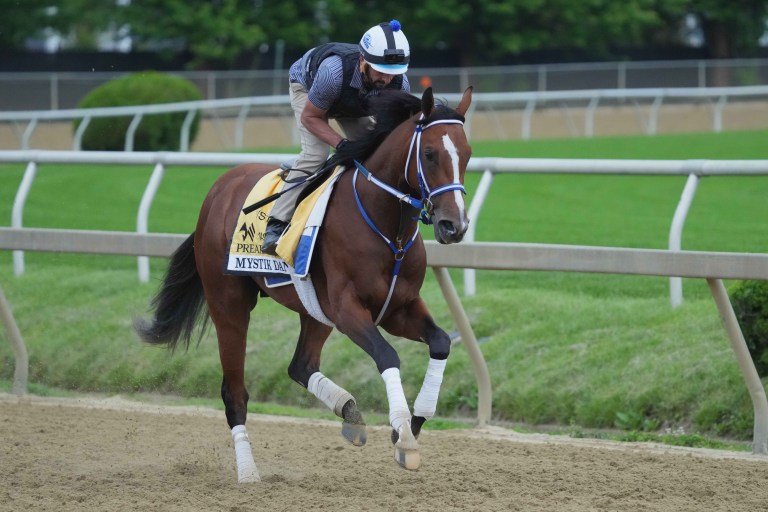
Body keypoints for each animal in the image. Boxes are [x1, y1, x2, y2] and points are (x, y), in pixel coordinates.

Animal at [136, 86, 473, 483]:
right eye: (430, 154)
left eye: (467, 153)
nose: (455, 226)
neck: (387, 229)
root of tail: (218, 189)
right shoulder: (347, 309)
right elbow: (387, 355)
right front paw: (403, 435)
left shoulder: (398, 308)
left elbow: (440, 342)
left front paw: (414, 423)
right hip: (228, 303)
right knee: (234, 393)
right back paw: (248, 472)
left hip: (313, 309)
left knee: (300, 365)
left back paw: (349, 413)